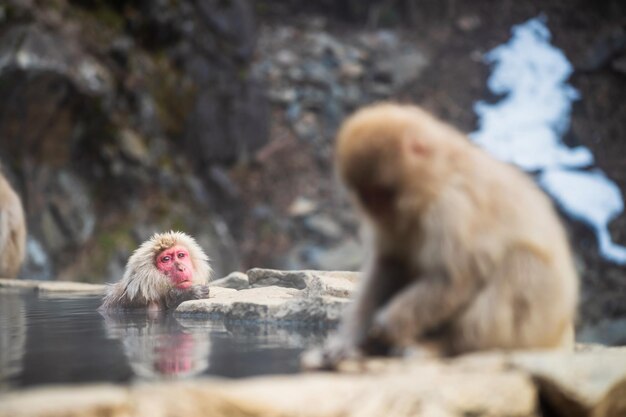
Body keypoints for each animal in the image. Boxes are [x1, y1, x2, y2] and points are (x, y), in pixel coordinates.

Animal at [302, 103, 576, 368]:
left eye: (383, 194)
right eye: (366, 196)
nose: (378, 212)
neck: (437, 175)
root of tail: (562, 334)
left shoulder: (452, 208)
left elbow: (453, 277)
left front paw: (386, 326)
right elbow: (390, 263)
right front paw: (349, 342)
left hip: (536, 327)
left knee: (521, 263)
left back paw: (441, 346)